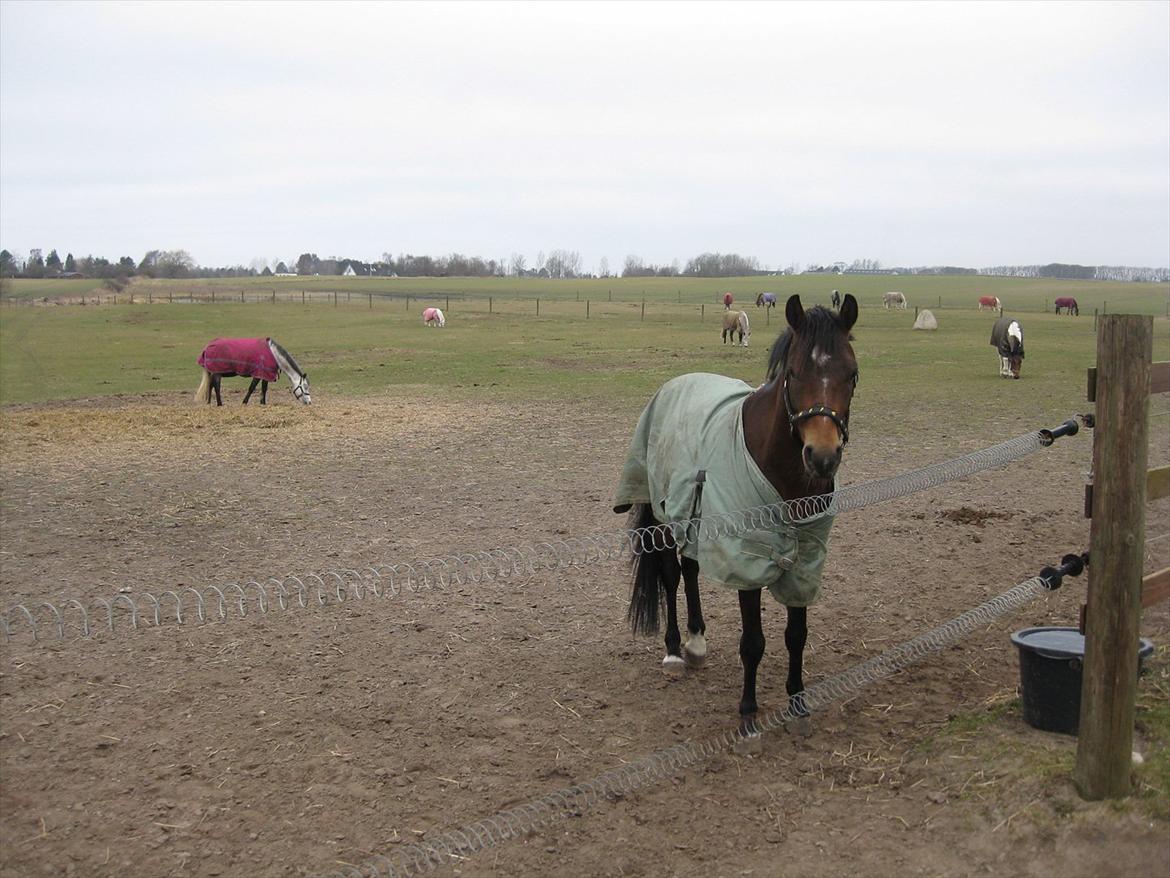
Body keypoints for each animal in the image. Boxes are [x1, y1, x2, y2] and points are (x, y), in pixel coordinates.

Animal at [614, 294, 859, 745]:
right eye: (794, 372)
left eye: (851, 374)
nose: (822, 456)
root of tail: (674, 383)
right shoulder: (748, 559)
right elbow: (754, 642)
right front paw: (748, 716)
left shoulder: (805, 560)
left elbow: (796, 635)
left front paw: (798, 704)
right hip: (663, 517)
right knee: (670, 574)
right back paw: (674, 650)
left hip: (695, 518)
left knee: (691, 570)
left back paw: (696, 643)